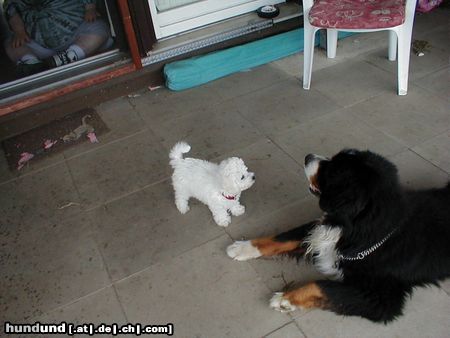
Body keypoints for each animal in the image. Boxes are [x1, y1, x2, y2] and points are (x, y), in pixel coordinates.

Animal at [229, 150, 450, 322]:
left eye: (333, 171)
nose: (308, 156)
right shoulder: (325, 230)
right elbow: (284, 236)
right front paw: (243, 247)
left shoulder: (382, 298)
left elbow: (323, 285)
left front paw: (285, 299)